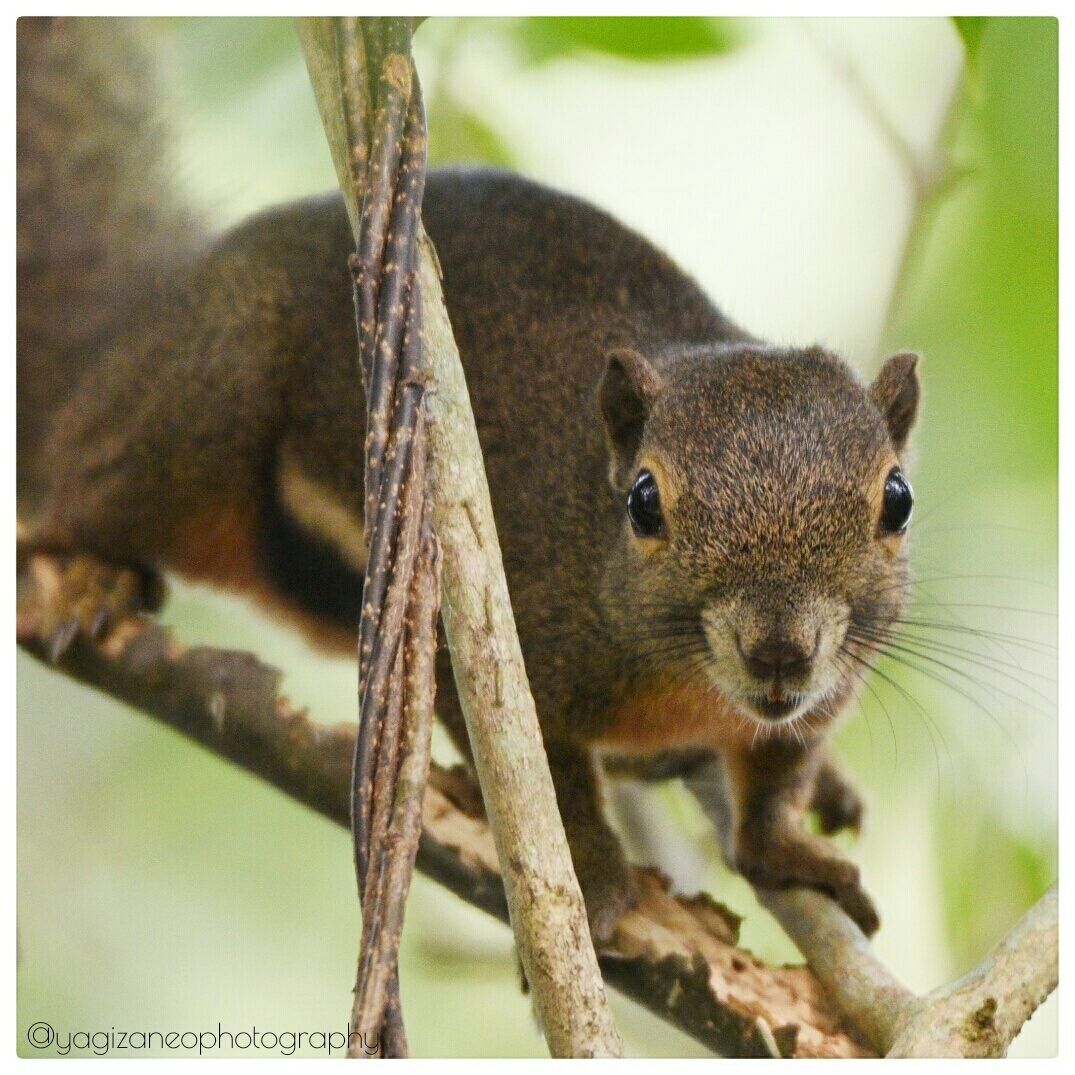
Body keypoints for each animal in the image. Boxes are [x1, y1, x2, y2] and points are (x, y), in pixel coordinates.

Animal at [18, 18, 920, 943]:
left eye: (896, 500)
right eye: (643, 502)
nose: (778, 650)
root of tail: (131, 328)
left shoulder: (824, 688)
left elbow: (774, 785)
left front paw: (788, 847)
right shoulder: (492, 633)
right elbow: (543, 781)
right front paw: (589, 876)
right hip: (199, 401)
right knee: (82, 490)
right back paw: (89, 570)